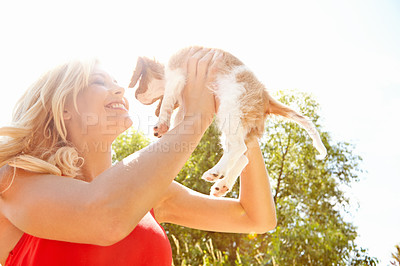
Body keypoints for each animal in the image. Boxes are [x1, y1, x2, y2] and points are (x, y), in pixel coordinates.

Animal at [130, 46, 326, 197]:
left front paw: (161, 125)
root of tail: (266, 98)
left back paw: (215, 173)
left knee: (239, 148)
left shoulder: (176, 75)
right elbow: (177, 118)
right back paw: (222, 184)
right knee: (243, 157)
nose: (135, 96)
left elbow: (166, 103)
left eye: (140, 81)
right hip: (242, 125)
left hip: (230, 111)